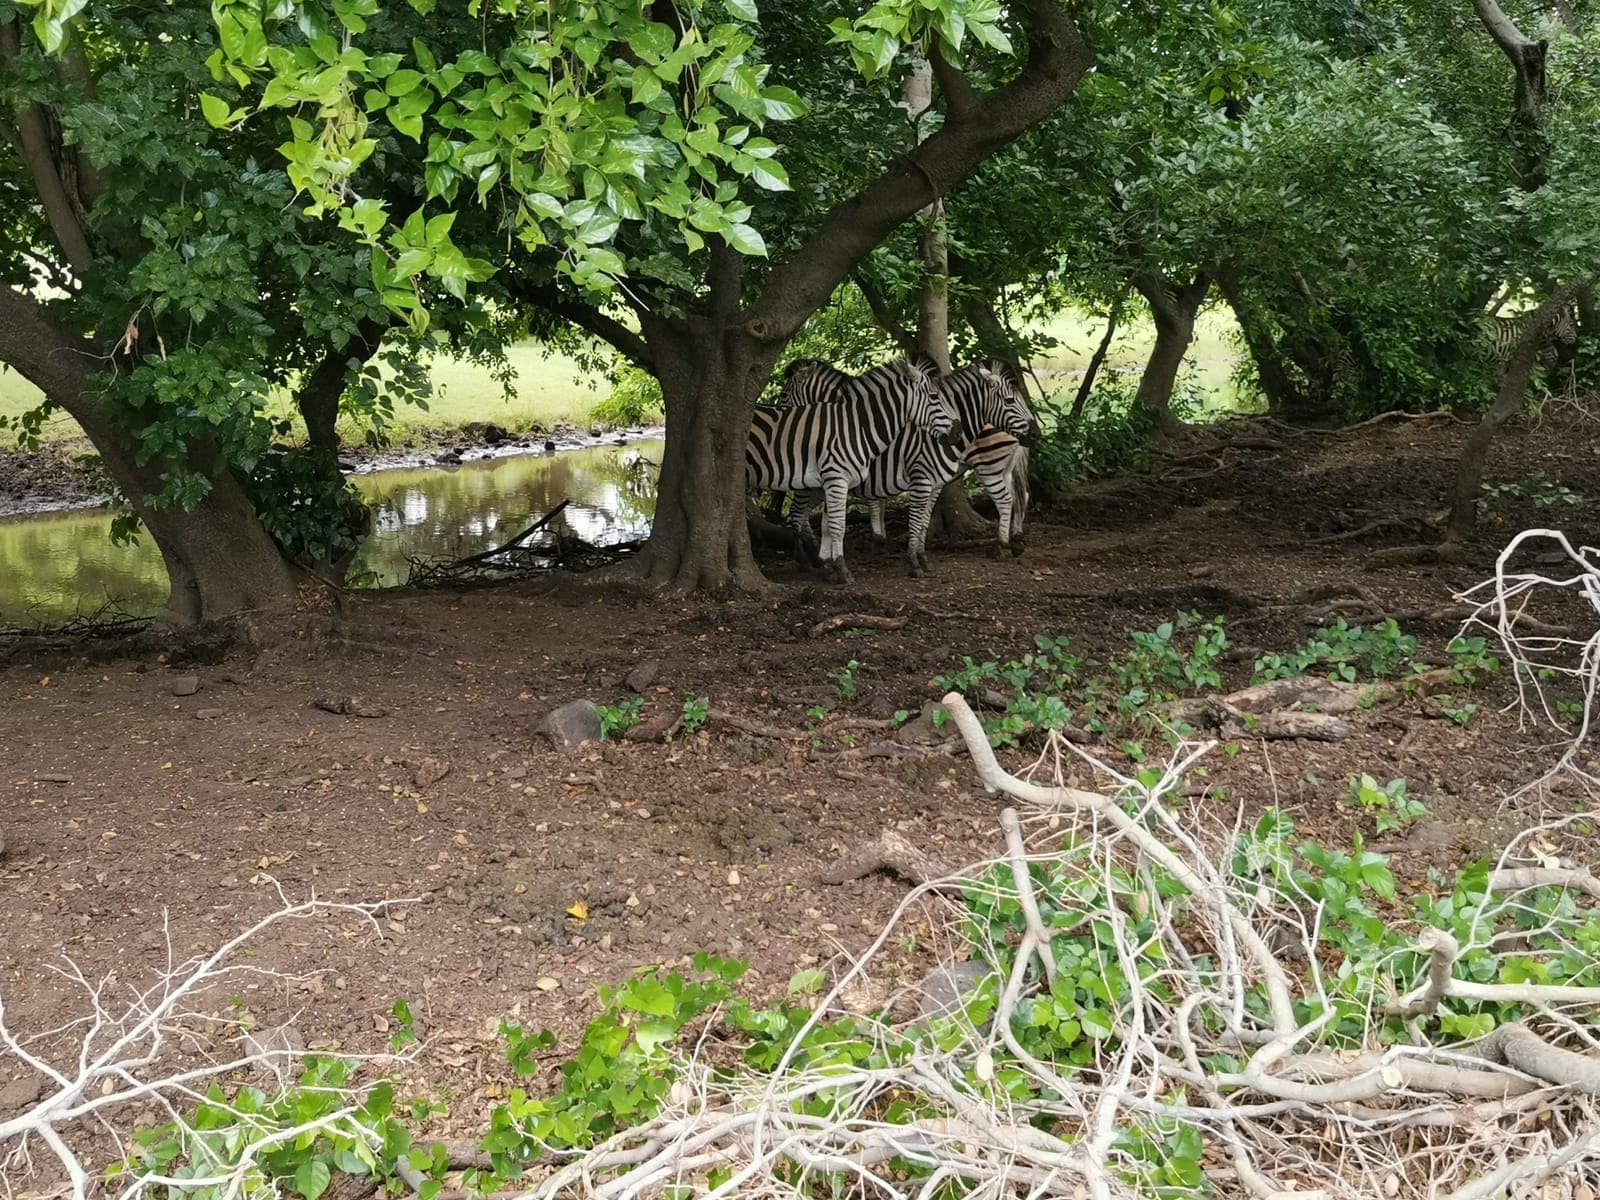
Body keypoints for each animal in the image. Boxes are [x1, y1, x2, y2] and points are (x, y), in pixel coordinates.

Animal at [746, 354, 957, 585]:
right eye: (934, 397)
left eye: (784, 395)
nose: (957, 429)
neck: (856, 427)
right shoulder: (836, 479)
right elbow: (838, 526)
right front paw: (842, 569)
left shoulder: (833, 482)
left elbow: (828, 525)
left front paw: (829, 566)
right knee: (793, 516)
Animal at [783, 358, 1039, 576]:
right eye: (1010, 400)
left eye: (784, 394)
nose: (1036, 433)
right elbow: (894, 513)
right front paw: (889, 544)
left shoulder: (911, 478)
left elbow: (911, 518)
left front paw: (906, 555)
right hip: (1001, 467)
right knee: (1019, 496)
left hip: (990, 465)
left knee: (1007, 499)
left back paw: (1003, 544)